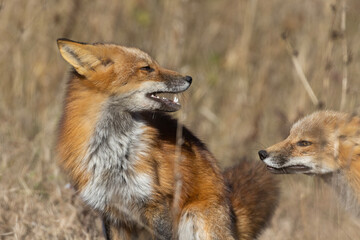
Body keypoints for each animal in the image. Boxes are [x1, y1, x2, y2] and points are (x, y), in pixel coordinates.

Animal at [56, 38, 278, 239]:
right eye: (146, 68)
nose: (189, 78)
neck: (114, 152)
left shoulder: (157, 205)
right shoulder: (112, 213)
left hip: (195, 222)